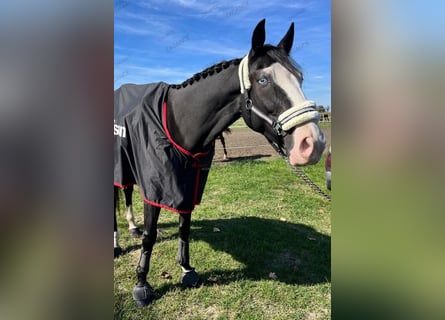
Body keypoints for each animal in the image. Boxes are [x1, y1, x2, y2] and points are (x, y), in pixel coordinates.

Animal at [112, 18, 324, 308]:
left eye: (299, 78)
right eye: (263, 80)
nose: (312, 144)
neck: (178, 123)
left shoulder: (188, 185)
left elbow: (184, 228)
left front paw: (187, 270)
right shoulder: (156, 188)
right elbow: (150, 235)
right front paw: (142, 284)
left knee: (127, 191)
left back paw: (131, 227)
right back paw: (116, 245)